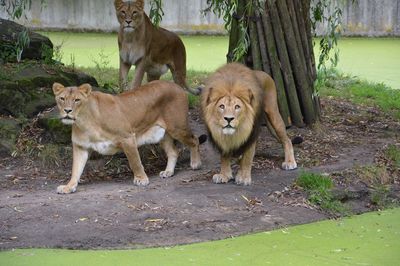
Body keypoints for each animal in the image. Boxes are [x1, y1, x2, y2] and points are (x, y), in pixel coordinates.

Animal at [52, 80, 203, 194]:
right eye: (62, 98)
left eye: (77, 100)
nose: (67, 111)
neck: (84, 122)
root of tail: (177, 85)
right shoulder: (81, 147)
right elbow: (75, 170)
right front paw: (69, 186)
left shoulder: (127, 137)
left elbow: (135, 162)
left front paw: (141, 179)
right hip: (163, 134)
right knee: (173, 151)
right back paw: (168, 172)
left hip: (177, 127)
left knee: (194, 139)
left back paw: (196, 163)